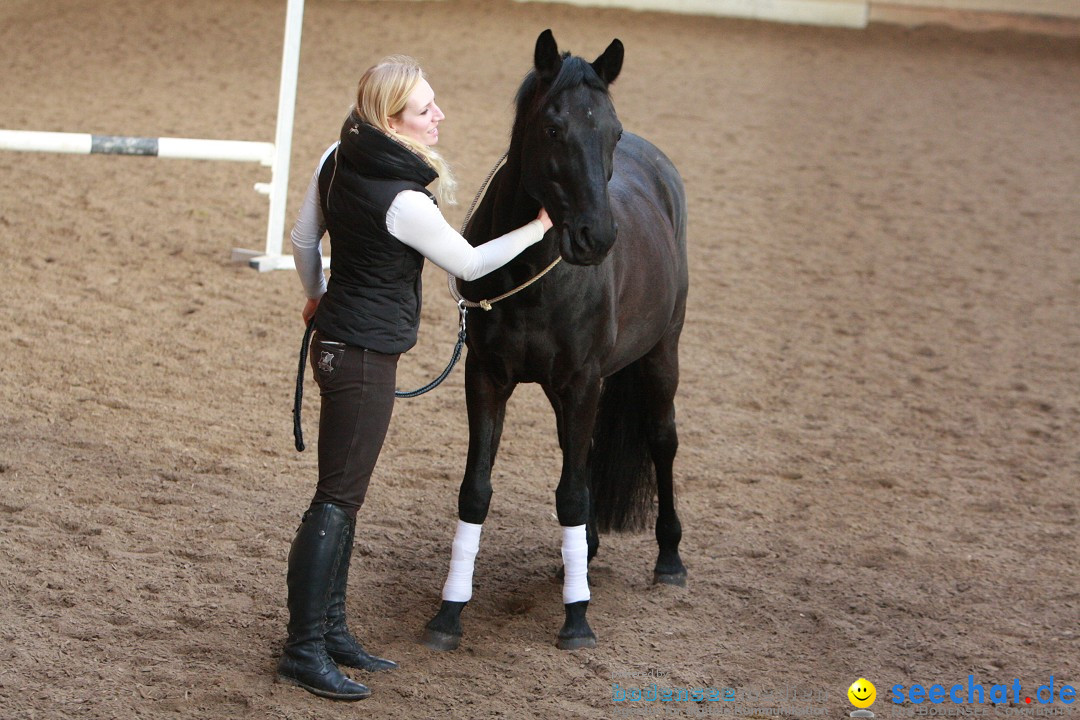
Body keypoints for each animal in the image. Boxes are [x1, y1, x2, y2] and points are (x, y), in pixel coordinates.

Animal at [421, 28, 682, 651]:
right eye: (553, 129)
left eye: (612, 131)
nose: (596, 237)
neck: (532, 274)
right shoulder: (487, 378)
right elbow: (477, 489)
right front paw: (449, 614)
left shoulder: (583, 382)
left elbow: (570, 493)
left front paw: (577, 618)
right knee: (580, 460)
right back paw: (583, 552)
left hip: (662, 356)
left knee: (661, 440)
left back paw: (669, 560)